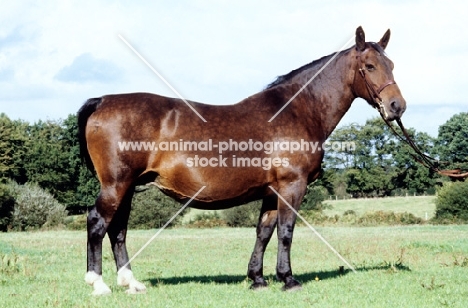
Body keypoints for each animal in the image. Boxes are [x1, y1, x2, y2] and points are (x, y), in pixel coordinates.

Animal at [77, 25, 406, 294]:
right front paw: (288, 279)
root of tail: (102, 101)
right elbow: (286, 232)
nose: (397, 106)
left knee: (118, 229)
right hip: (116, 184)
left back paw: (131, 283)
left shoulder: (272, 191)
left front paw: (258, 279)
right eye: (370, 66)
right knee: (97, 223)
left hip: (127, 187)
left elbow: (264, 232)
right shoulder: (292, 186)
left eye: (391, 64)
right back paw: (98, 284)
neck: (298, 110)